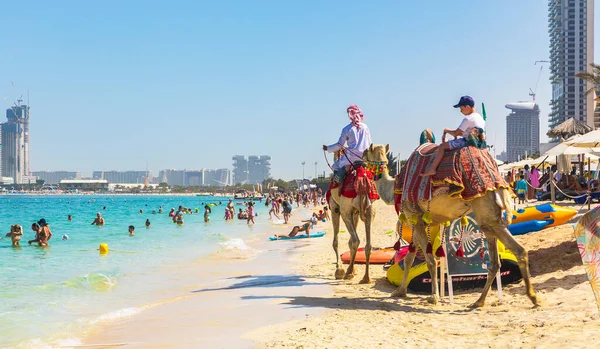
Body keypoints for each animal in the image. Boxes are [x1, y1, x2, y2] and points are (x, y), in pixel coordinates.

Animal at [360, 144, 544, 308]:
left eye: (365, 152)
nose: (359, 159)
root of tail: (496, 180)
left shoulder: (414, 216)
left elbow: (430, 260)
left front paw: (433, 297)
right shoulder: (419, 221)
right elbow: (409, 258)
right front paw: (400, 291)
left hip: (486, 212)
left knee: (518, 250)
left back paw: (533, 298)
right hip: (489, 217)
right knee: (496, 262)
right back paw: (479, 301)